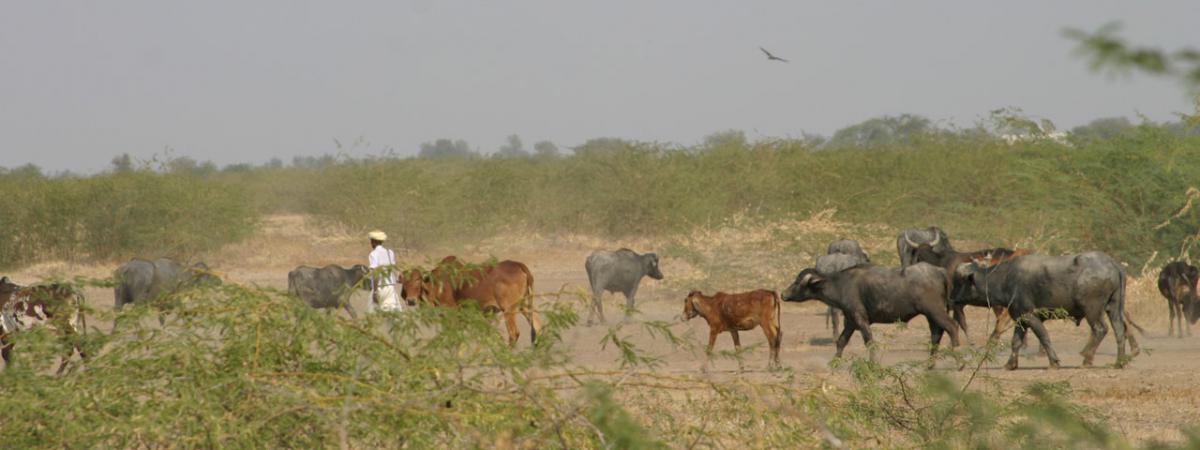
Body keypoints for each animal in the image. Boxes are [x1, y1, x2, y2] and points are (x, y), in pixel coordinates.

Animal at [401, 256, 542, 346]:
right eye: (404, 282)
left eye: (417, 280)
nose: (411, 300)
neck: (436, 283)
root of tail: (518, 265)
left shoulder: (451, 312)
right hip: (524, 305)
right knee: (537, 325)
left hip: (508, 309)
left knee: (514, 333)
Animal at [782, 263, 960, 364]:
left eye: (798, 281)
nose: (783, 294)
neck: (841, 284)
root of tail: (940, 271)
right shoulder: (850, 321)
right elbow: (841, 341)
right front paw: (834, 362)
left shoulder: (860, 319)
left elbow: (869, 341)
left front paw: (873, 363)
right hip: (931, 315)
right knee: (936, 334)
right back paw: (930, 365)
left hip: (934, 310)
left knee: (952, 327)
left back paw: (959, 361)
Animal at [953, 252, 1129, 370]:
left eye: (960, 282)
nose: (952, 298)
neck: (1005, 279)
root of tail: (1113, 264)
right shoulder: (1020, 318)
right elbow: (1016, 342)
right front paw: (1010, 364)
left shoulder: (1030, 316)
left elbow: (1044, 337)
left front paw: (1054, 362)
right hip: (1114, 308)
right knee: (1120, 331)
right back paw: (1119, 362)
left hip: (1092, 310)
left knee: (1100, 329)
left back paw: (1087, 359)